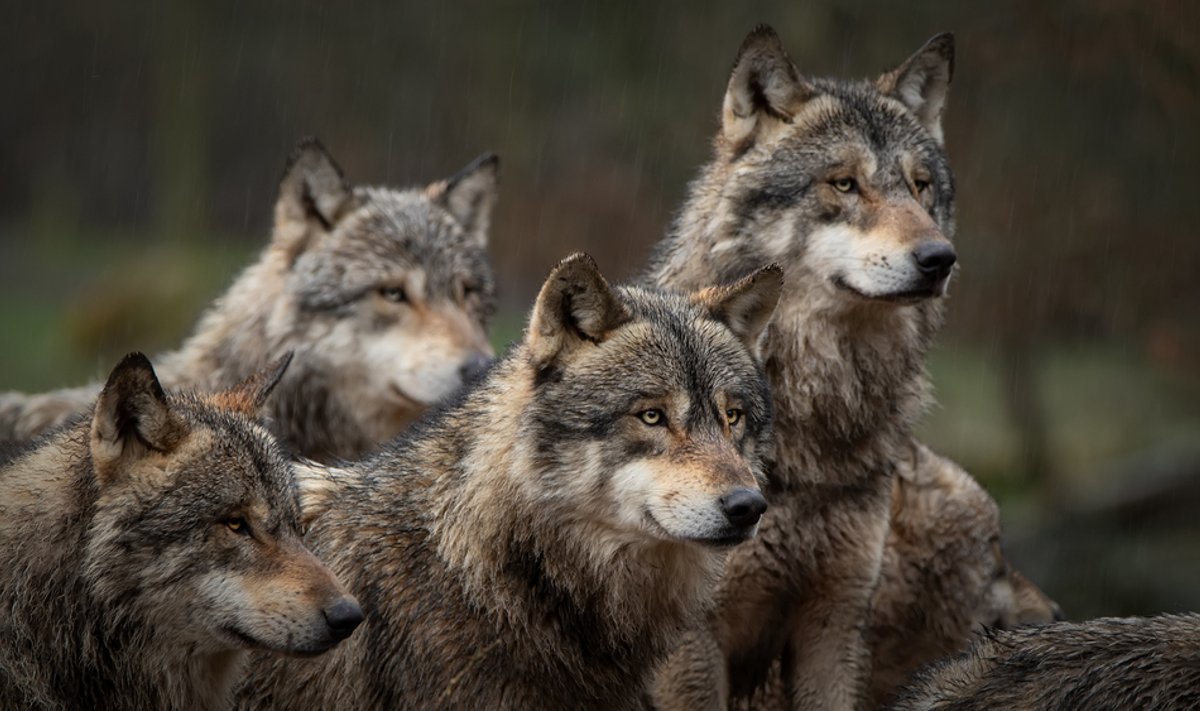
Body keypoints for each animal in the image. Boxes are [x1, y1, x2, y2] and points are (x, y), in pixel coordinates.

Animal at [648, 24, 1060, 706]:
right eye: (844, 184)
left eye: (921, 187)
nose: (940, 259)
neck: (820, 413)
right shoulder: (691, 641)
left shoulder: (833, 621)